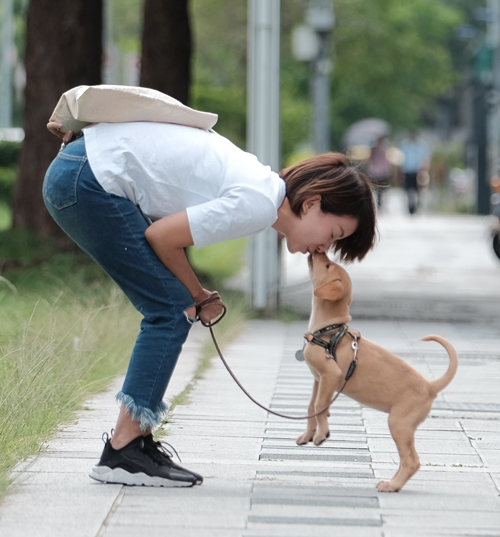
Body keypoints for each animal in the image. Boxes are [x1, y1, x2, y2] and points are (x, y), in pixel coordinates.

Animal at [296, 251, 458, 490]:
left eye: (326, 265)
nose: (318, 251)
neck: (328, 332)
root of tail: (430, 386)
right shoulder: (318, 379)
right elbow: (312, 408)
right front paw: (308, 434)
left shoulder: (330, 376)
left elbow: (318, 406)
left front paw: (321, 434)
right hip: (402, 425)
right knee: (406, 460)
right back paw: (393, 483)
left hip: (399, 423)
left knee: (412, 461)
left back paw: (391, 485)